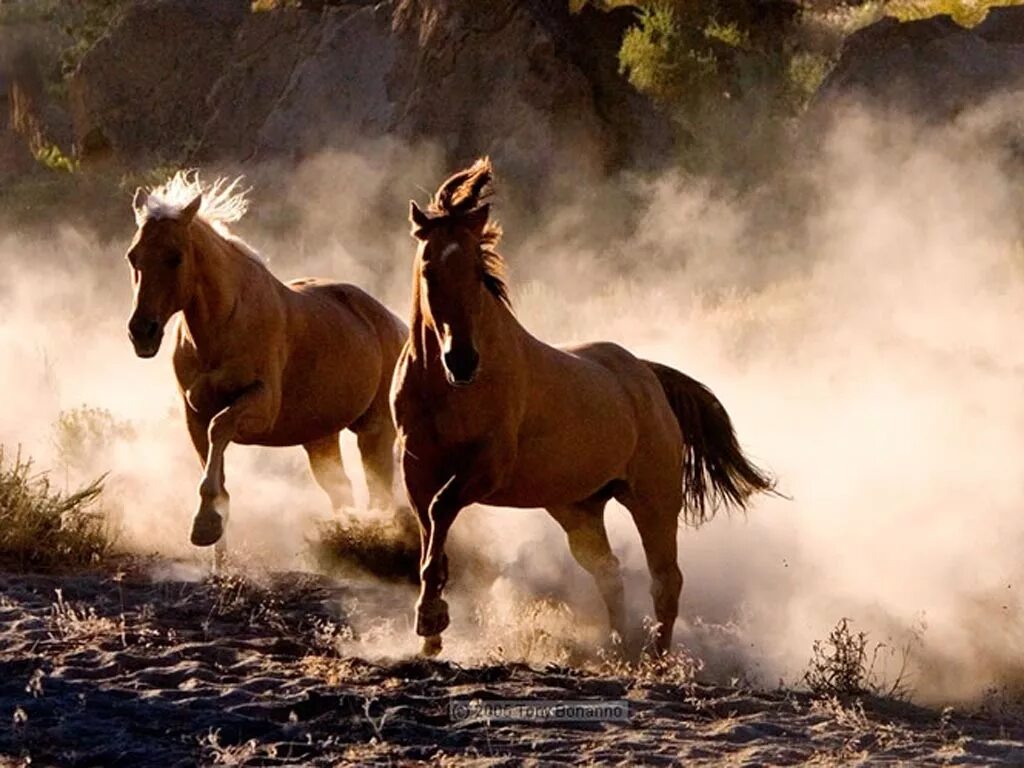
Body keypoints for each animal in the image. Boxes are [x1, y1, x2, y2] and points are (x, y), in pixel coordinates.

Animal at [130, 173, 409, 561]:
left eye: (175, 257)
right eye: (133, 257)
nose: (142, 332)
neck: (223, 327)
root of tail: (395, 324)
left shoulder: (260, 406)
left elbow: (220, 429)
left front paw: (205, 524)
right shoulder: (194, 413)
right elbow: (213, 461)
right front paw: (217, 550)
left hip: (375, 429)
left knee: (379, 490)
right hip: (320, 437)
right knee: (342, 488)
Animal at [391, 159, 774, 659]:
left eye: (477, 270)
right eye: (429, 269)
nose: (462, 360)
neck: (446, 390)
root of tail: (647, 376)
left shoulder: (486, 467)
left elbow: (440, 511)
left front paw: (432, 618)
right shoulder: (416, 465)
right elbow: (429, 528)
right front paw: (429, 633)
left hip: (653, 498)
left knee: (666, 579)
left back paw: (656, 659)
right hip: (579, 507)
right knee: (609, 571)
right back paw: (618, 646)